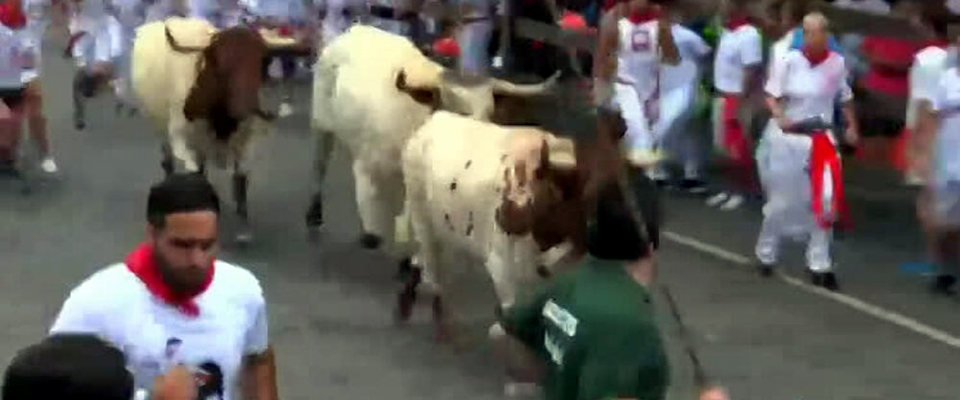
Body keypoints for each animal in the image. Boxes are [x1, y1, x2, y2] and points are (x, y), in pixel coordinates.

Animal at [308, 25, 564, 256]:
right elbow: (369, 198)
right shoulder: (369, 163)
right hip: (321, 123)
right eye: (458, 110)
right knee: (320, 165)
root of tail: (354, 31)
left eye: (490, 111)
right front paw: (372, 233)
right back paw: (315, 214)